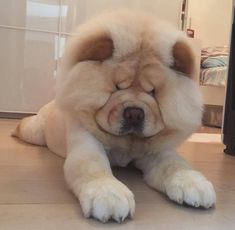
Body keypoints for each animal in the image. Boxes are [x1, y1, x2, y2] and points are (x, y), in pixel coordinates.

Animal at [12, 10, 215, 223]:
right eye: (117, 87)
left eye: (153, 93)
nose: (134, 113)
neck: (125, 144)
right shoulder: (87, 143)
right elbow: (93, 165)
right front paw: (108, 195)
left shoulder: (157, 152)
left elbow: (175, 164)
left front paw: (194, 184)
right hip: (35, 132)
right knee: (25, 126)